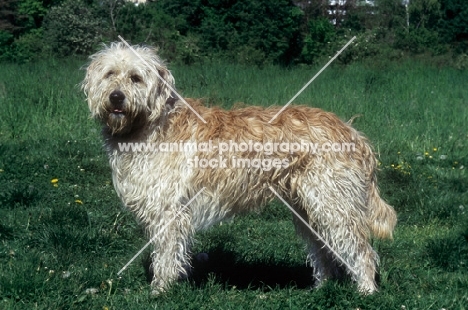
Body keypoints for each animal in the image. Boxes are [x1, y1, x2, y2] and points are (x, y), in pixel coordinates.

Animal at [82, 42, 396, 294]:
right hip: (309, 208)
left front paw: (160, 290)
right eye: (109, 74)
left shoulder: (170, 211)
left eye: (136, 78)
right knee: (323, 251)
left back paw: (367, 291)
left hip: (334, 204)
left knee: (362, 250)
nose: (116, 97)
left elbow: (167, 254)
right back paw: (322, 287)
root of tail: (352, 132)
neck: (151, 124)